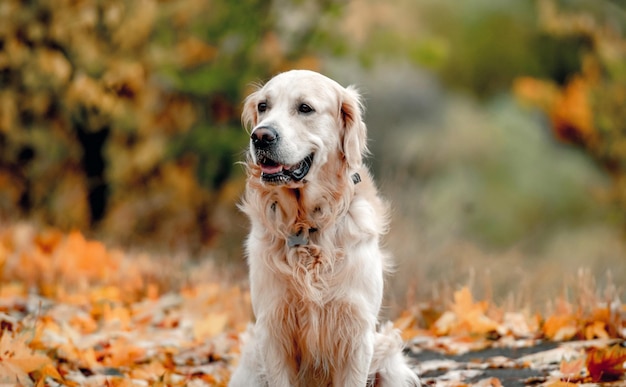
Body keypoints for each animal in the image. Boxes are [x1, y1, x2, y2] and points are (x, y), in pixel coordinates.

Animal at [229, 70, 420, 387]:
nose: (260, 136)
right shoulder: (272, 329)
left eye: (305, 108)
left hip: (389, 356)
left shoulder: (356, 331)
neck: (307, 225)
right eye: (263, 106)